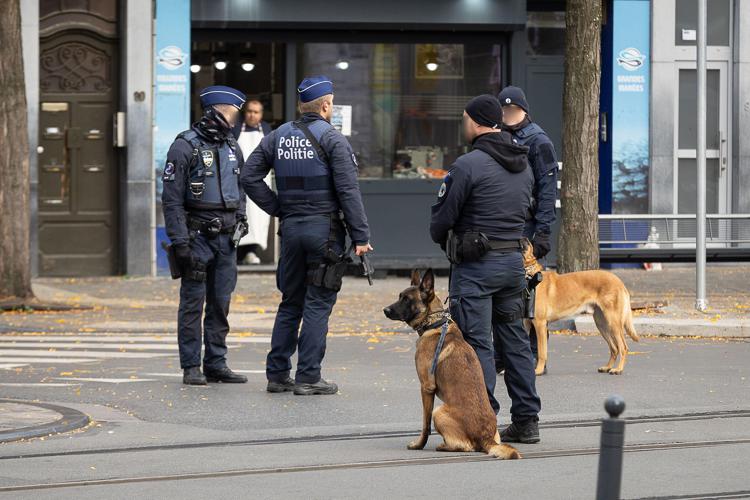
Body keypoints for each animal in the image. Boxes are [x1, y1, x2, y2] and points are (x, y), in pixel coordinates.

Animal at [384, 272, 520, 458]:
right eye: (399, 296)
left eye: (407, 300)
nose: (385, 310)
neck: (435, 323)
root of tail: (485, 438)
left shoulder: (426, 388)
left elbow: (425, 425)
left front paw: (419, 445)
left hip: (439, 411)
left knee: (465, 446)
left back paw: (445, 446)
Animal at [524, 238, 640, 376]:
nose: (525, 239)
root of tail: (619, 281)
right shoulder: (525, 324)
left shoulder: (540, 324)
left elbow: (542, 352)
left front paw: (539, 370)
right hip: (602, 324)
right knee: (614, 348)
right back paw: (607, 367)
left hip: (613, 323)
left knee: (623, 347)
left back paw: (618, 369)